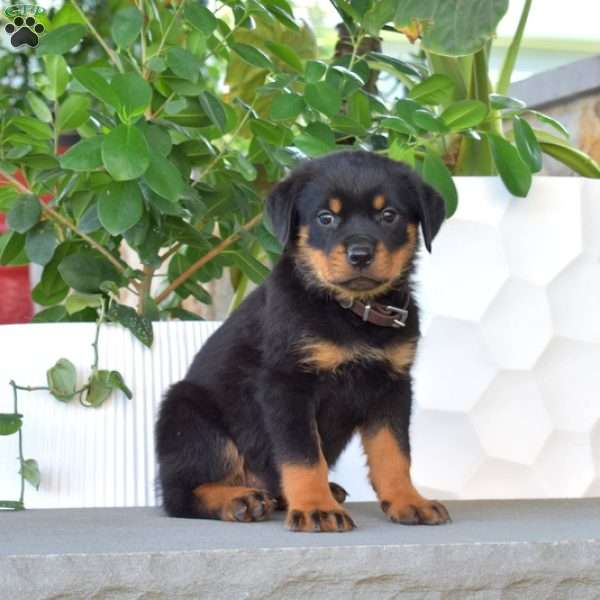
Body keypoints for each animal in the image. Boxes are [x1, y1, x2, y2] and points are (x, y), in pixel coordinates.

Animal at [155, 152, 450, 532]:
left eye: (389, 215)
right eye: (326, 218)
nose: (360, 254)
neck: (351, 311)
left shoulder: (393, 385)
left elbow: (394, 452)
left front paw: (408, 501)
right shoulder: (287, 383)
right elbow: (304, 455)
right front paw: (316, 508)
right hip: (188, 414)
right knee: (180, 493)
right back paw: (239, 500)